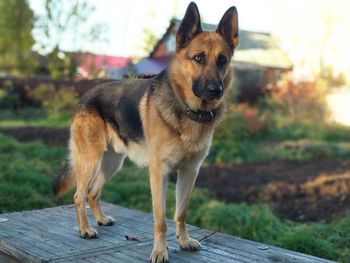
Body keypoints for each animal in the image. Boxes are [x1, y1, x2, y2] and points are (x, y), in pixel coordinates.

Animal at [53, 2, 238, 263]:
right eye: (198, 58)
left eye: (222, 60)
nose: (215, 90)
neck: (188, 109)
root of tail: (86, 95)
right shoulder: (159, 173)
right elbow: (160, 220)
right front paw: (160, 251)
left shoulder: (189, 172)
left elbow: (181, 213)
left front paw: (183, 241)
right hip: (90, 161)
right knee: (79, 195)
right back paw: (86, 229)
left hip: (112, 163)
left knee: (93, 192)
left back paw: (100, 220)